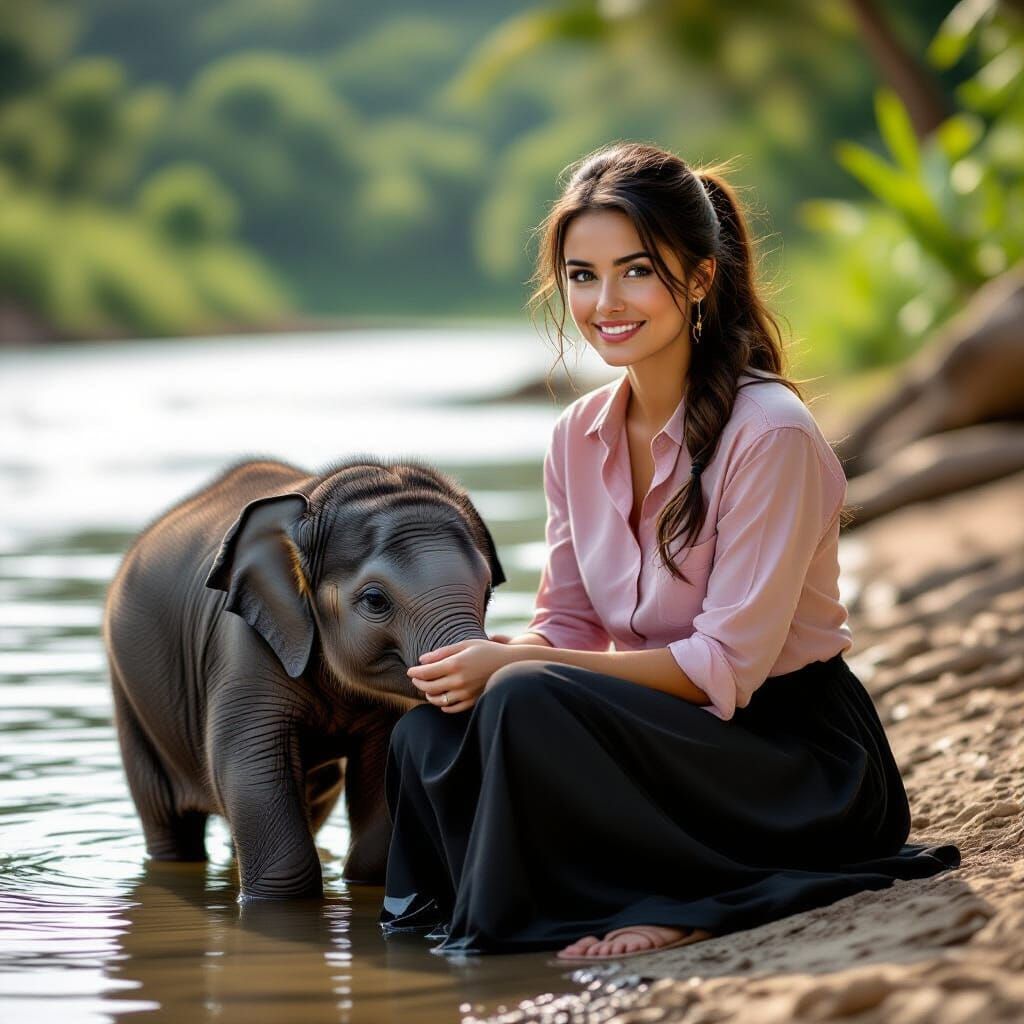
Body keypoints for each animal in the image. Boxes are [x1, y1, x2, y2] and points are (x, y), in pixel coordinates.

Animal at [101, 455, 506, 899]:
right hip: (131, 699)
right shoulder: (243, 646)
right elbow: (248, 771)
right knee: (167, 821)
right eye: (375, 600)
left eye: (488, 591)